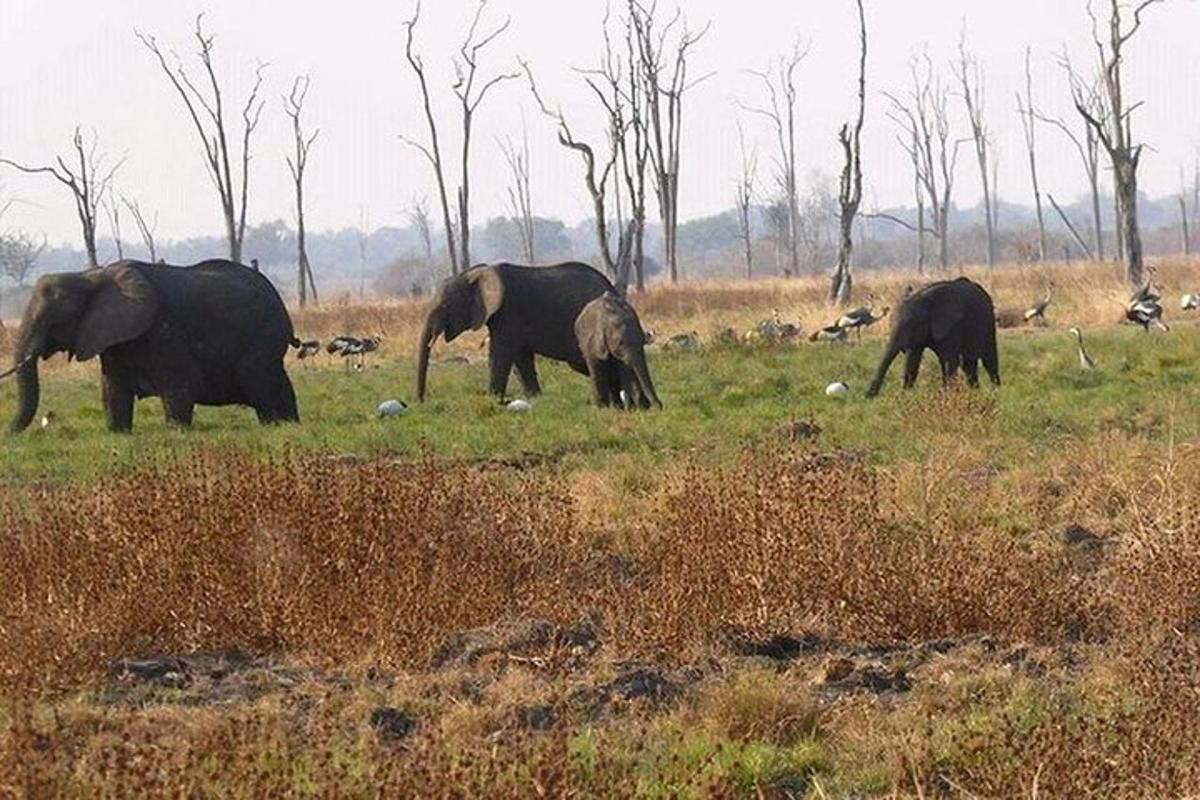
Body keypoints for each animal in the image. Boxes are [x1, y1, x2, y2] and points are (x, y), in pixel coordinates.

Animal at [1, 260, 300, 434]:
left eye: (57, 319)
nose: (8, 435)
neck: (90, 276)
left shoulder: (164, 328)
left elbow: (179, 384)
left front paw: (177, 433)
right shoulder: (112, 339)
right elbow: (113, 390)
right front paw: (119, 433)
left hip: (264, 333)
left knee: (257, 379)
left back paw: (275, 426)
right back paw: (290, 424)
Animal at [415, 261, 619, 400]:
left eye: (445, 306)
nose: (421, 400)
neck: (476, 273)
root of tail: (612, 288)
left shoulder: (508, 314)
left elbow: (501, 354)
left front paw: (493, 399)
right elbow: (520, 359)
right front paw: (535, 398)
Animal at [868, 277, 998, 398]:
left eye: (911, 324)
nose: (869, 397)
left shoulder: (952, 326)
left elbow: (949, 361)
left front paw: (948, 397)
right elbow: (912, 362)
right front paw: (905, 398)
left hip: (988, 321)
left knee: (988, 360)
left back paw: (995, 391)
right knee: (969, 364)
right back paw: (975, 392)